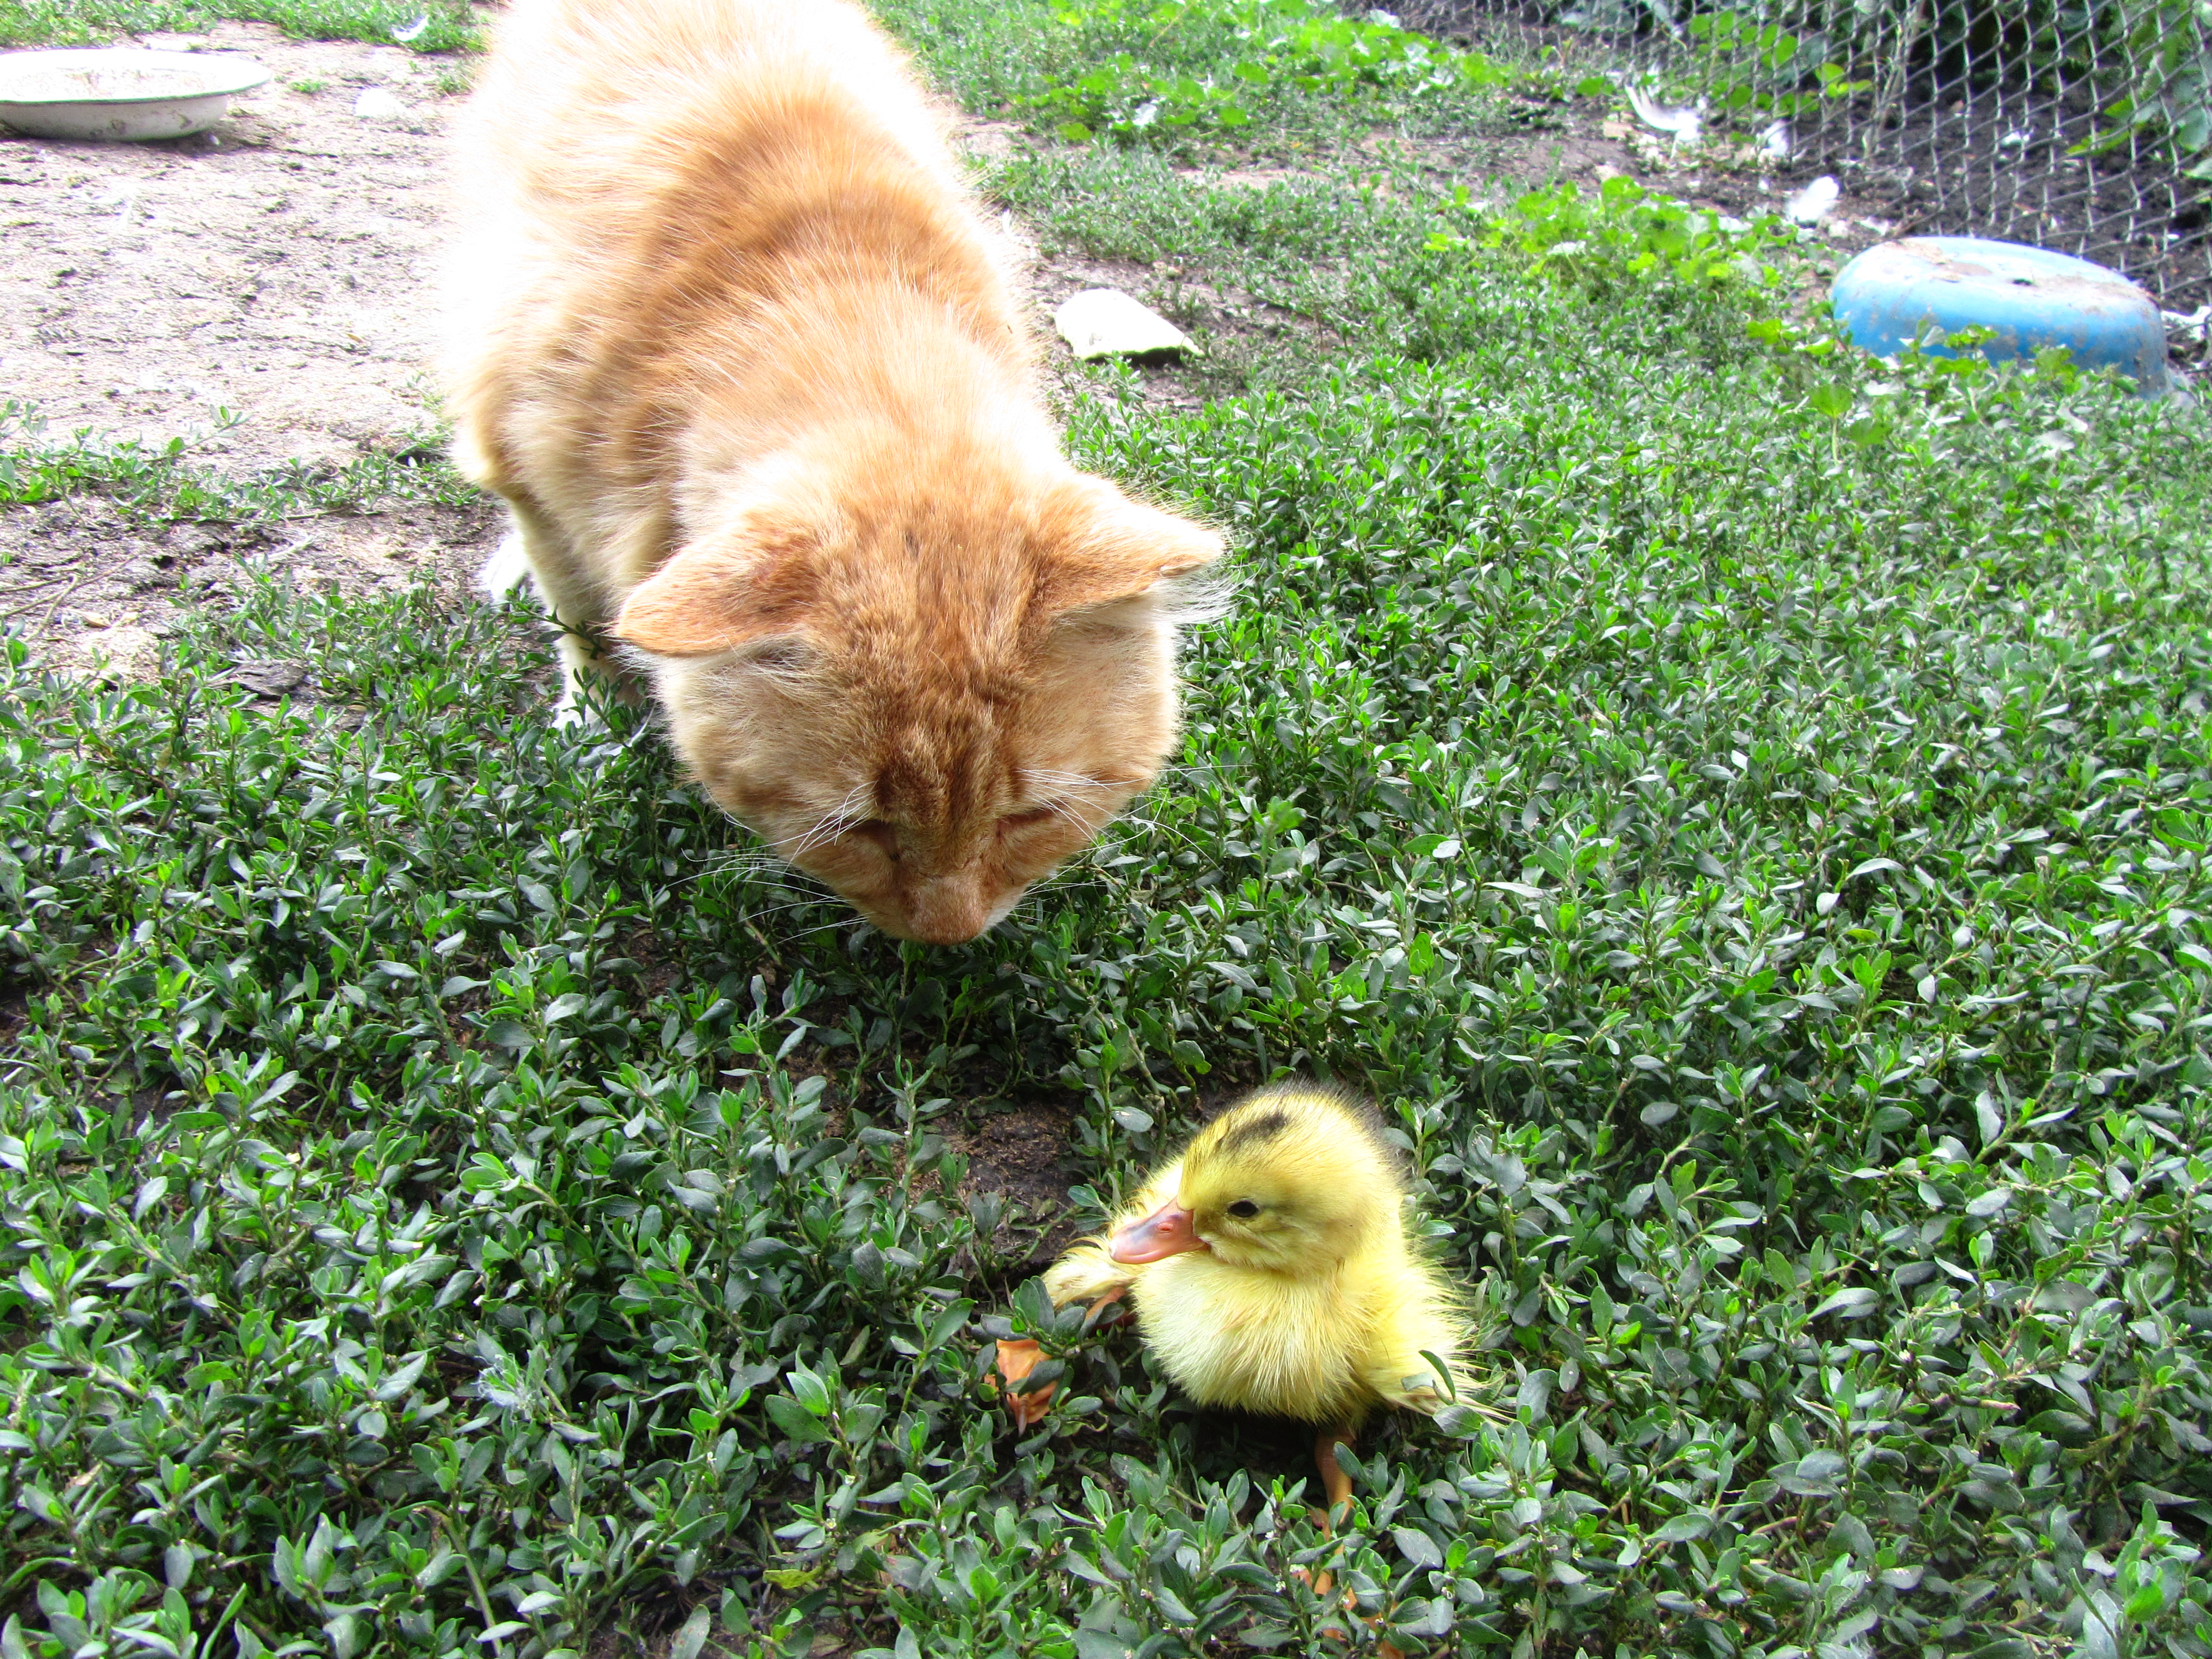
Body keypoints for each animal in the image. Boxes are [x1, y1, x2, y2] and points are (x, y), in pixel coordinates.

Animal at [440, 0, 1221, 942]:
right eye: (859, 829)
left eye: (1029, 818)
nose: (947, 937)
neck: (825, 292)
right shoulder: (525, 463)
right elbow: (582, 621)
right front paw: (593, 717)